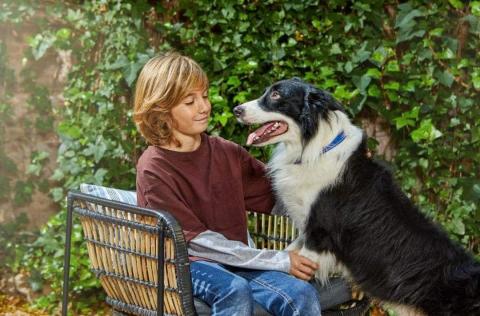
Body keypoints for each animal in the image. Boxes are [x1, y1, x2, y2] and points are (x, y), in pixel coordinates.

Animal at [232, 77, 480, 316]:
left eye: (276, 95)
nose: (236, 109)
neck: (315, 147)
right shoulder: (306, 230)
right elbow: (284, 255)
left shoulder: (318, 235)